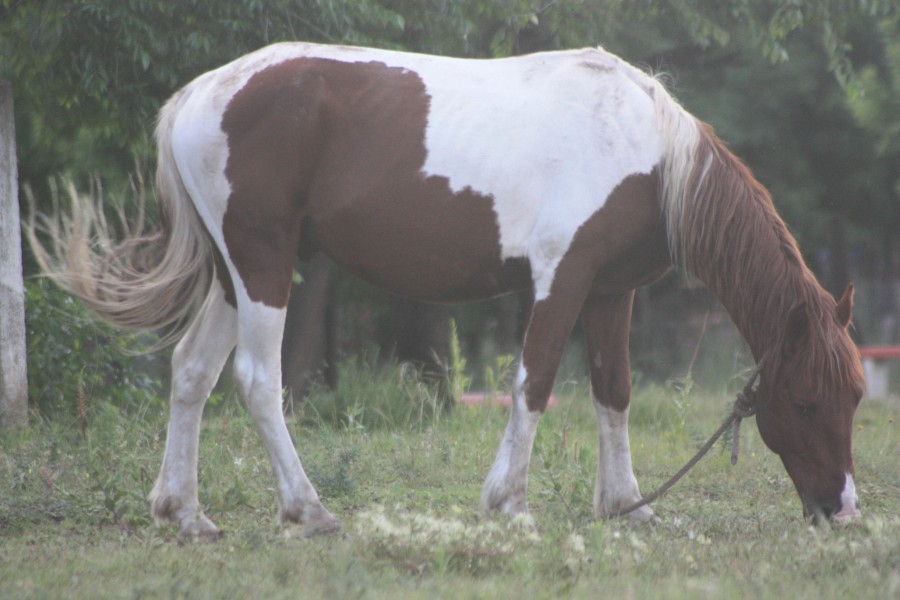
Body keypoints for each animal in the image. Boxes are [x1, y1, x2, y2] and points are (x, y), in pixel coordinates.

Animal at [33, 42, 864, 540]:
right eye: (806, 402)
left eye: (856, 397)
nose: (842, 508)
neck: (648, 153)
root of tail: (201, 95)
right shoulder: (560, 279)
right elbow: (534, 384)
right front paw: (510, 504)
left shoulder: (608, 293)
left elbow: (614, 392)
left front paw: (627, 505)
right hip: (263, 264)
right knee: (257, 381)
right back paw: (310, 509)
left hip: (234, 275)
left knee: (192, 375)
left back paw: (185, 513)